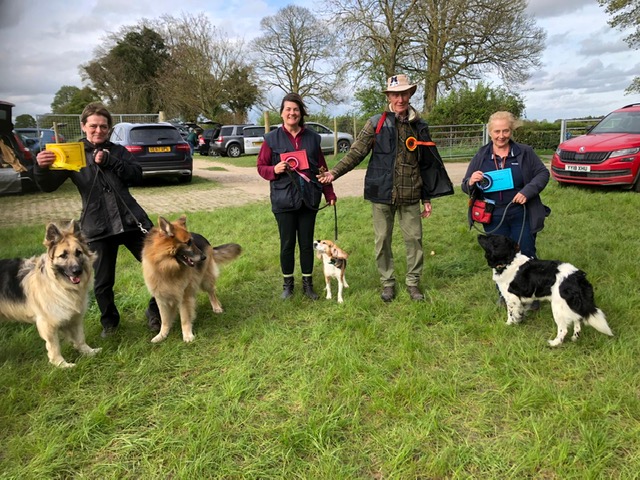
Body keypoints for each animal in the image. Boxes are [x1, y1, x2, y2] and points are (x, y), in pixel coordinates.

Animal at [0, 220, 100, 367]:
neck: (58, 283)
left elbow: (80, 338)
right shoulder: (48, 324)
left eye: (78, 253)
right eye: (63, 255)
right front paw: (62, 365)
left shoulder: (74, 318)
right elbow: (54, 347)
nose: (77, 271)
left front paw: (89, 352)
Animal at [477, 234, 613, 346]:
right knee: (577, 321)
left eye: (491, 239)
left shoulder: (512, 298)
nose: (479, 235)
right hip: (571, 304)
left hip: (558, 307)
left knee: (563, 329)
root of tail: (577, 276)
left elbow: (510, 314)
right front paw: (519, 321)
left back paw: (554, 343)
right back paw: (574, 338)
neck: (509, 261)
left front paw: (509, 324)